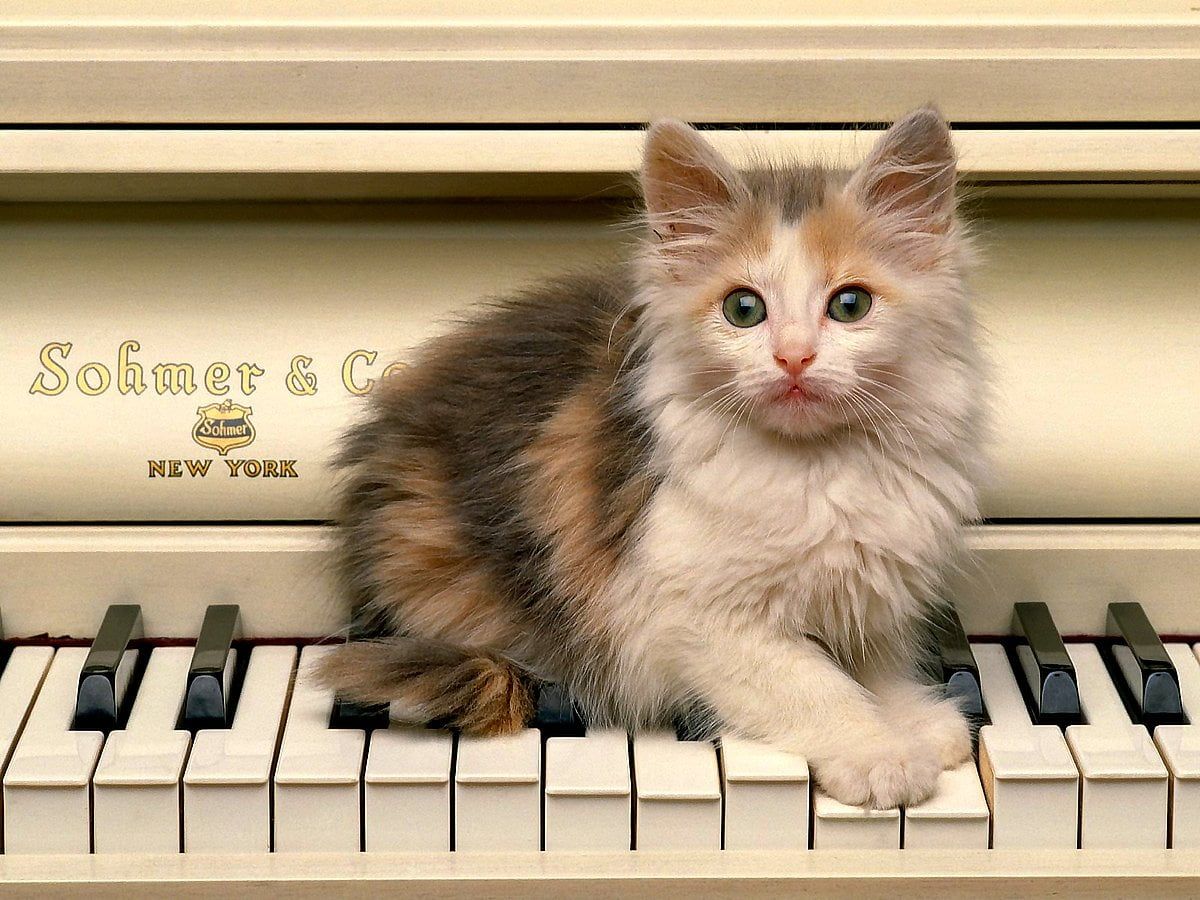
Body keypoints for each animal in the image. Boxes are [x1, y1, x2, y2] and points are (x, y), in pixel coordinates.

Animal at [316, 105, 984, 811]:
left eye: (850, 305)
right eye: (744, 308)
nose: (793, 357)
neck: (818, 468)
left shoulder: (870, 587)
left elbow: (879, 663)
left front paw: (924, 721)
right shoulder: (692, 614)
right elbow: (814, 682)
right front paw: (881, 755)